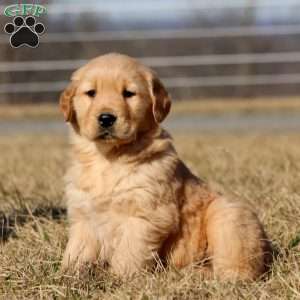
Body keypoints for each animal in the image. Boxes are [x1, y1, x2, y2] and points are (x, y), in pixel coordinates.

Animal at [59, 52, 270, 280]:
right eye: (91, 93)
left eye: (128, 93)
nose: (106, 118)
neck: (108, 158)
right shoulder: (84, 215)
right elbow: (77, 250)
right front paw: (67, 274)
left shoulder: (146, 215)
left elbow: (128, 253)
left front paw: (119, 279)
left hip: (228, 213)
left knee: (238, 265)